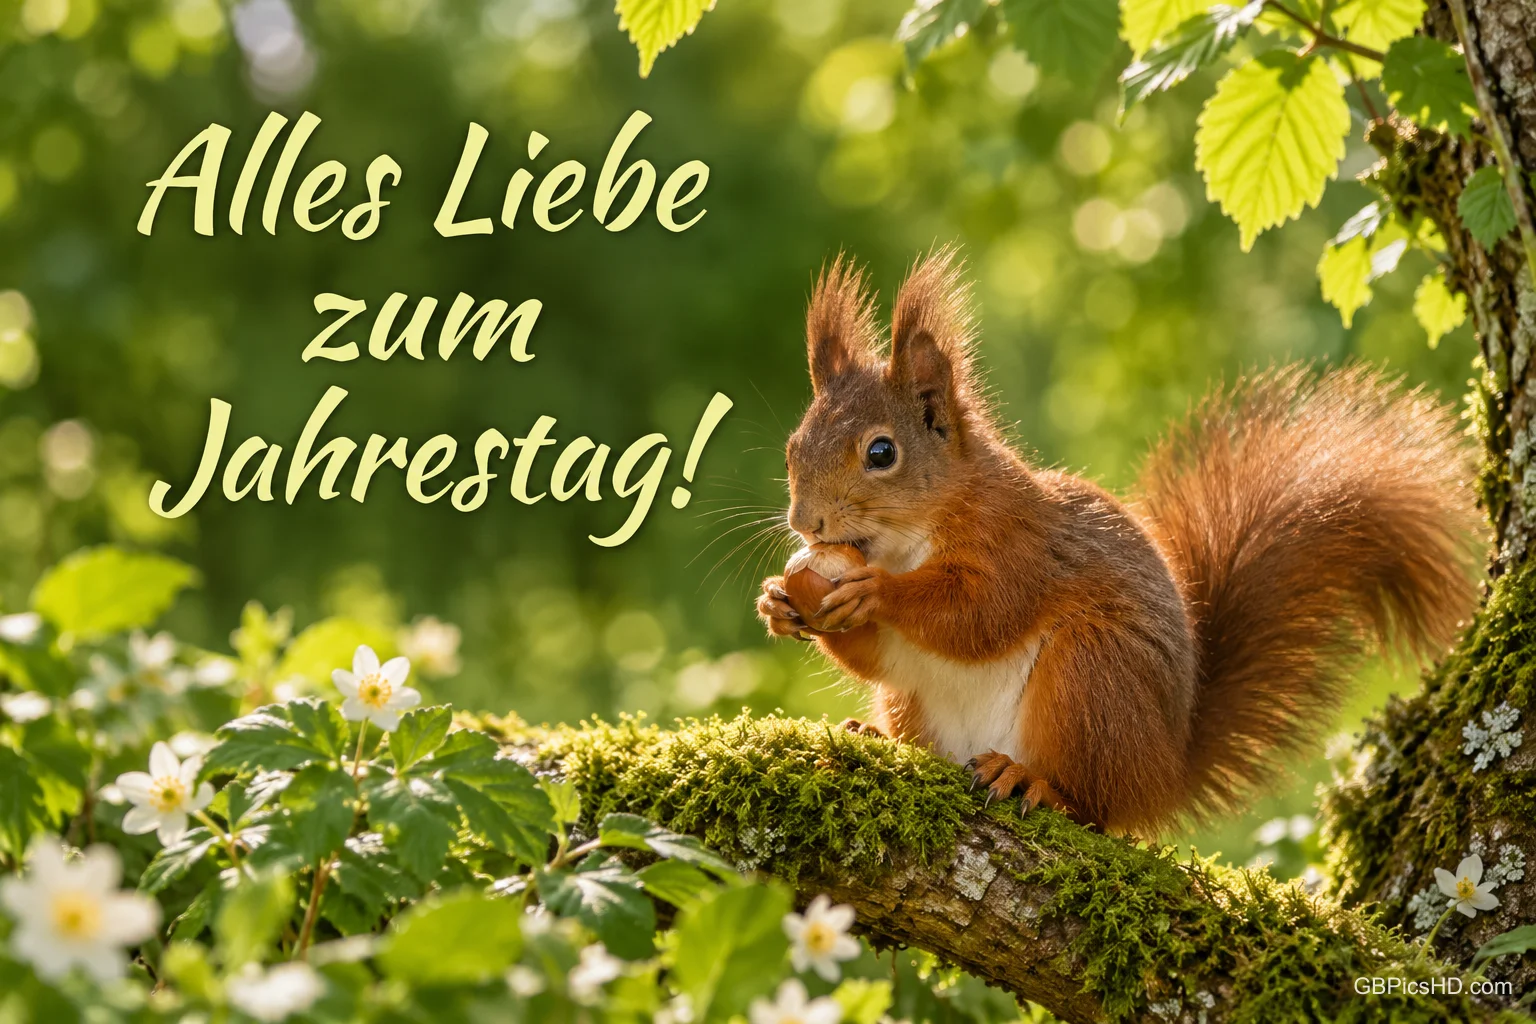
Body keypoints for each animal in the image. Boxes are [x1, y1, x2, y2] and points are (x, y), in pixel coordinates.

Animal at [756, 249, 1483, 833]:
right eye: (792, 446)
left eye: (882, 452)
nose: (805, 523)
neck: (910, 538)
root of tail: (1163, 773)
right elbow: (877, 657)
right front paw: (778, 603)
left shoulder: (1022, 545)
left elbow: (980, 614)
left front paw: (872, 590)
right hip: (925, 701)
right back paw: (875, 734)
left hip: (1092, 676)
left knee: (1092, 805)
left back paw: (1032, 781)